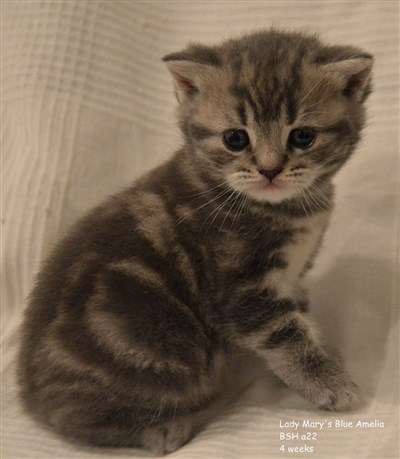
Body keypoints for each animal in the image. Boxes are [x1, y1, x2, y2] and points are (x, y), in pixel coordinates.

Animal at [17, 29, 374, 456]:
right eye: (235, 139)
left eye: (303, 136)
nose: (270, 170)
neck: (284, 208)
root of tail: (29, 393)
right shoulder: (239, 289)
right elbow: (285, 336)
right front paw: (328, 383)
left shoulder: (287, 278)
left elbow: (299, 317)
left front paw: (315, 352)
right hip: (153, 348)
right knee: (73, 419)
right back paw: (159, 429)